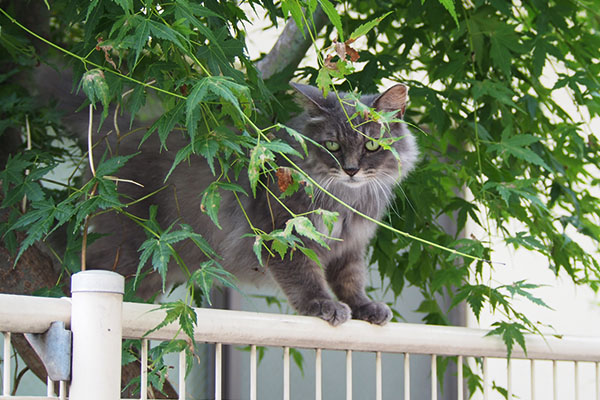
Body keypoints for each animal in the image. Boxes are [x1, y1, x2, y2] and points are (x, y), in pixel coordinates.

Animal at [36, 67, 418, 326]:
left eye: (372, 146)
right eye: (333, 146)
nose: (351, 170)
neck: (346, 201)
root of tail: (119, 132)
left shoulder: (350, 247)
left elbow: (351, 281)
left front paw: (366, 308)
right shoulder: (281, 235)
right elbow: (306, 278)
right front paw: (322, 306)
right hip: (128, 250)